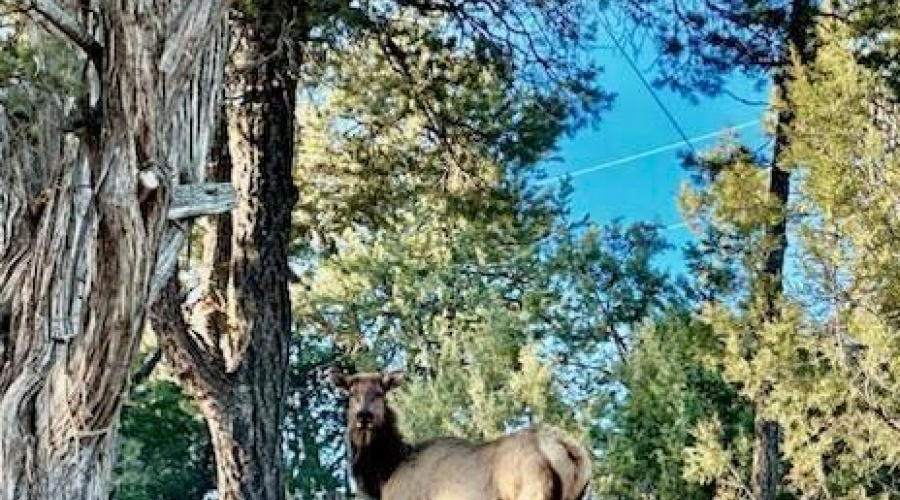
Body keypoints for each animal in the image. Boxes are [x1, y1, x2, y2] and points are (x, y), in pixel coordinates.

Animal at [331, 370, 592, 500]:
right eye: (351, 394)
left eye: (380, 393)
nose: (364, 416)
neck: (384, 474)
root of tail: (568, 448)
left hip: (532, 491)